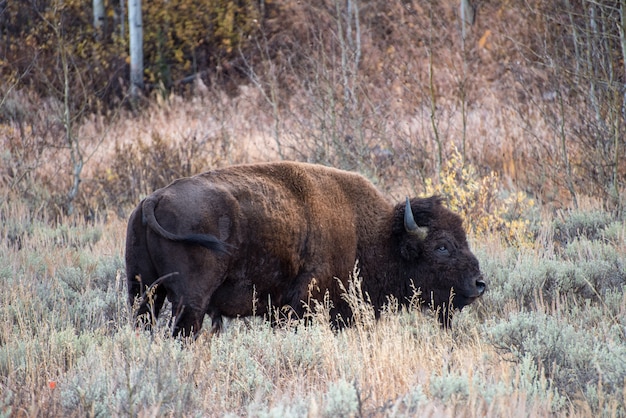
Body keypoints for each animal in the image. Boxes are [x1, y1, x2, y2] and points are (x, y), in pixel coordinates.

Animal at [124, 162, 486, 338]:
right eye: (442, 246)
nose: (480, 284)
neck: (374, 233)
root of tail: (153, 199)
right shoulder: (306, 306)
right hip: (191, 300)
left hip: (144, 290)